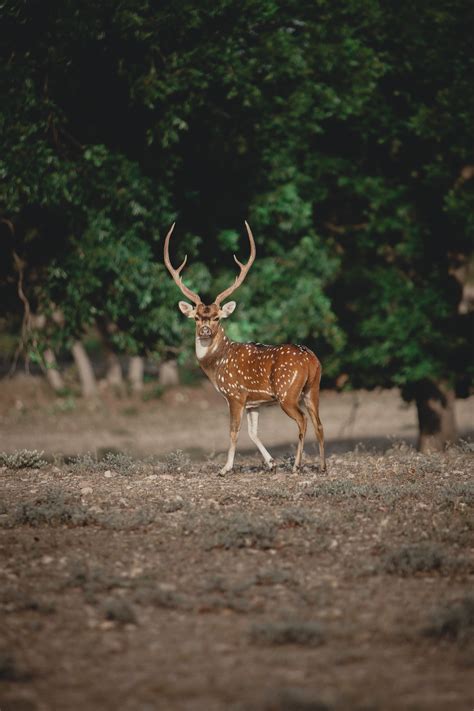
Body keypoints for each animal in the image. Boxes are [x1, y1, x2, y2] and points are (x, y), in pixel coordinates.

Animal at [164, 221, 326, 478]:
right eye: (197, 317)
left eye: (218, 318)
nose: (205, 331)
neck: (216, 365)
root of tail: (310, 360)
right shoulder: (254, 403)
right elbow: (253, 432)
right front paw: (271, 463)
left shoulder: (235, 394)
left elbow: (234, 431)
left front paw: (225, 468)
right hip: (313, 388)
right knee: (319, 422)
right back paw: (322, 466)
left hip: (287, 392)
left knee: (303, 421)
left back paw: (297, 465)